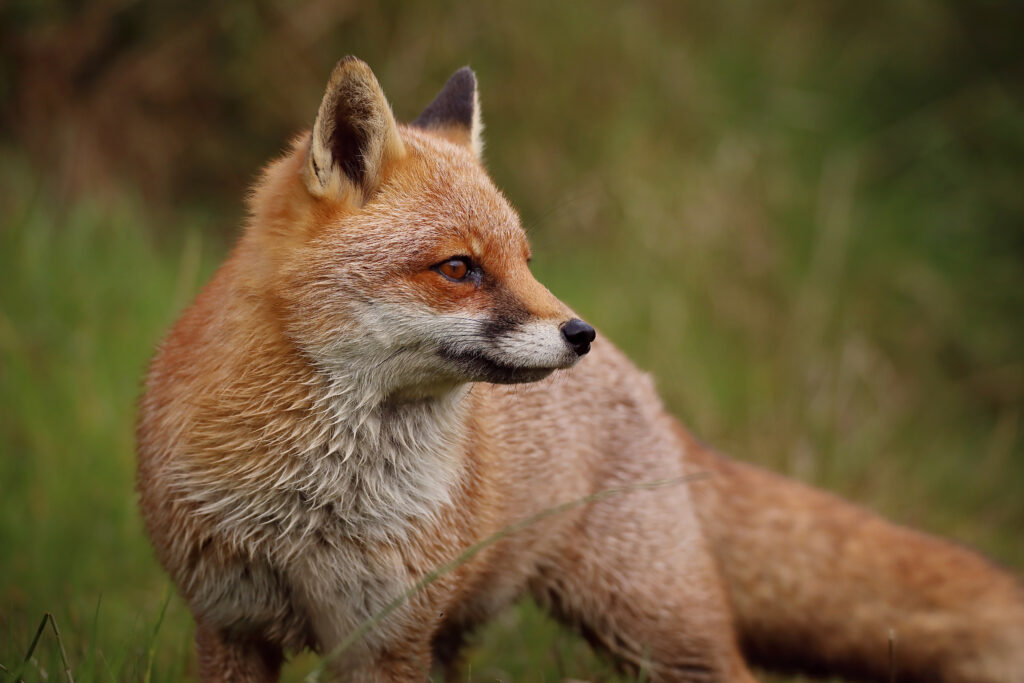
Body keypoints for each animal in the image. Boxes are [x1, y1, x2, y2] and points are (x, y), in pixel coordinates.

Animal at [136, 57, 1024, 682]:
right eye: (459, 268)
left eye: (526, 260)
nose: (580, 331)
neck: (309, 508)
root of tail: (650, 391)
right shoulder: (231, 623)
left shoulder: (385, 635)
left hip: (653, 624)